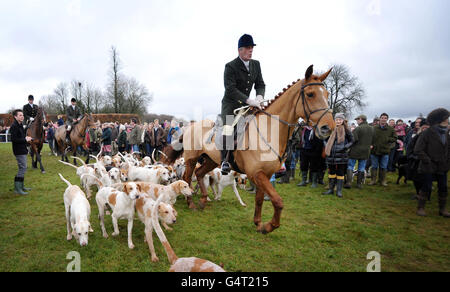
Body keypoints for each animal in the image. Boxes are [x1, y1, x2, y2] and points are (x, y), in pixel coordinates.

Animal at [163, 65, 336, 234]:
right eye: (310, 94)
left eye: (327, 94)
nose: (328, 128)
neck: (268, 131)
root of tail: (190, 126)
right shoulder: (256, 173)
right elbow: (278, 201)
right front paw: (269, 226)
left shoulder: (266, 174)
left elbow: (259, 199)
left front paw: (258, 223)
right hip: (191, 160)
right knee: (186, 178)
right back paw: (191, 203)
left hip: (212, 160)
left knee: (199, 173)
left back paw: (204, 200)